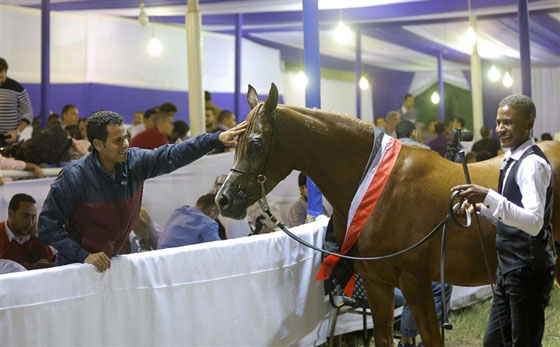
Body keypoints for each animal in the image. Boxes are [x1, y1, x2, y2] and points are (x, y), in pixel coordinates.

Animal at [215, 83, 560, 346]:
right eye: (235, 139)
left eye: (256, 142)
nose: (224, 199)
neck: (383, 188)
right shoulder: (377, 284)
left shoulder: (415, 283)